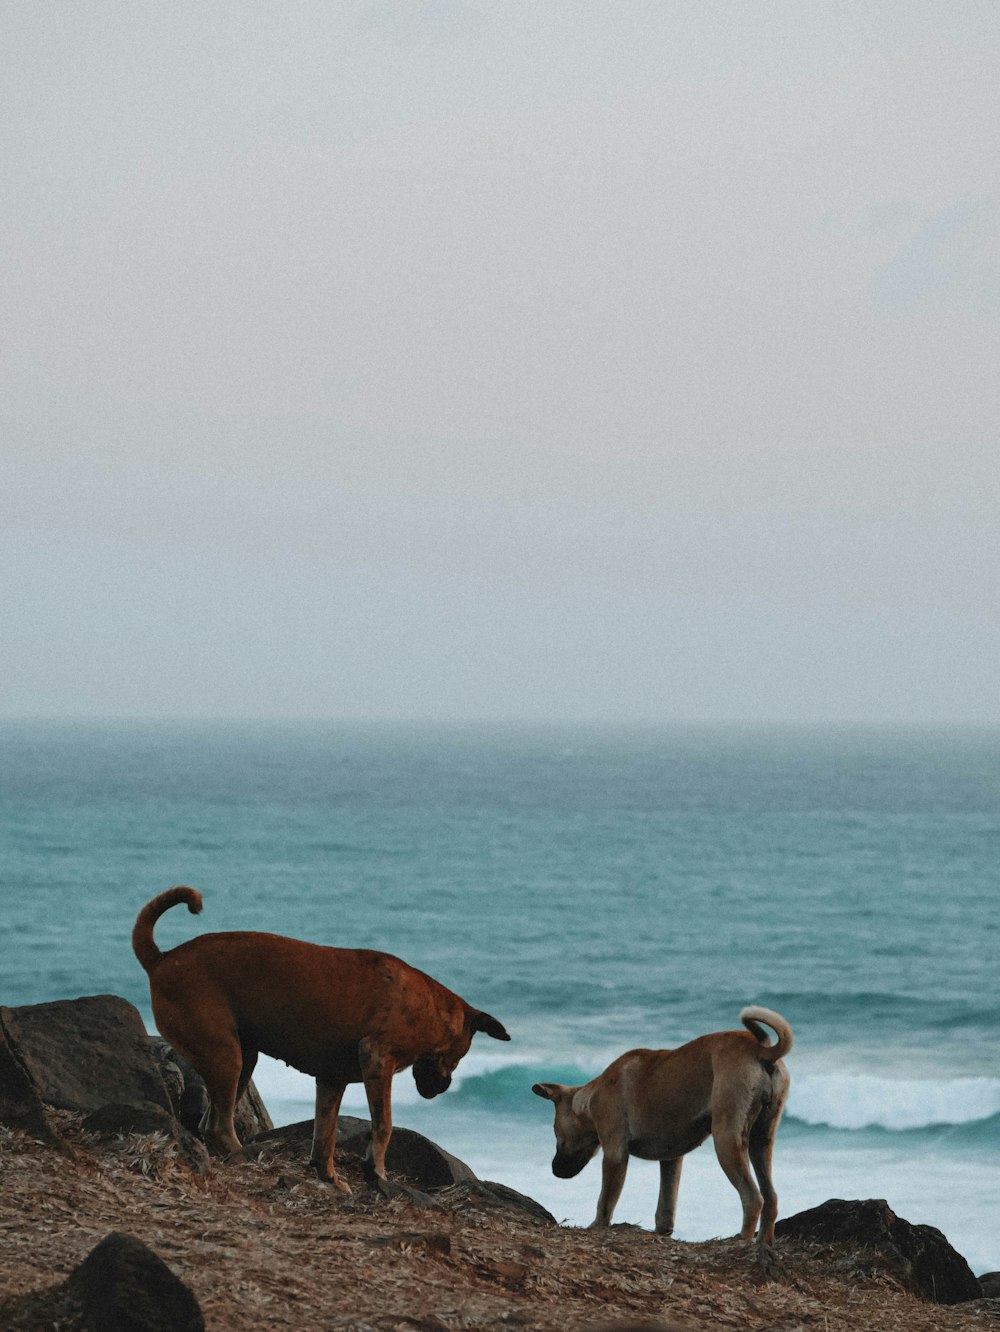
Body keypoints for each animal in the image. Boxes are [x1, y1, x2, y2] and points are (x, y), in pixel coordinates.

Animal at [133, 889, 508, 1193]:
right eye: (460, 1055)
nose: (442, 1088)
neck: (431, 1007)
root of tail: (162, 959)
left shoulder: (331, 1081)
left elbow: (325, 1135)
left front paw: (328, 1175)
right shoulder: (377, 1062)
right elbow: (383, 1125)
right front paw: (377, 1171)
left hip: (241, 1058)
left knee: (208, 1123)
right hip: (226, 1056)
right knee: (219, 1125)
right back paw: (243, 1154)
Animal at [527, 1006, 793, 1246]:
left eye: (556, 1133)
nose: (554, 1169)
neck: (590, 1098)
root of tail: (762, 1051)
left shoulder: (614, 1154)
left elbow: (606, 1199)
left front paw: (598, 1225)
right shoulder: (671, 1159)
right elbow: (666, 1205)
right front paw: (662, 1231)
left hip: (726, 1139)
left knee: (752, 1198)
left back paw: (742, 1240)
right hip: (761, 1141)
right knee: (770, 1198)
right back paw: (765, 1243)